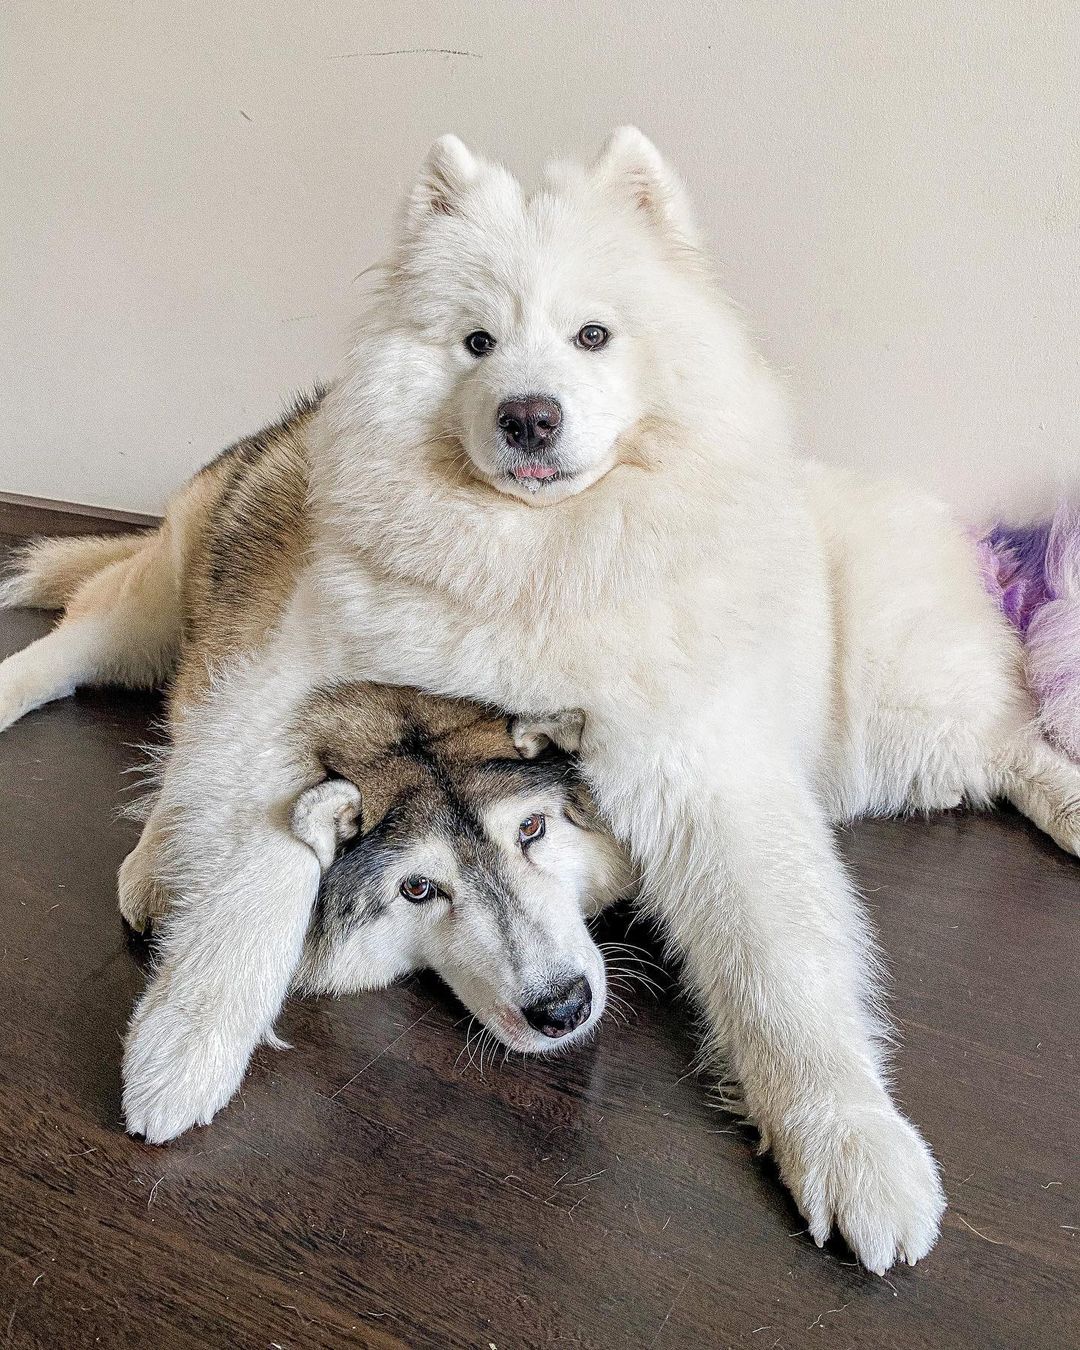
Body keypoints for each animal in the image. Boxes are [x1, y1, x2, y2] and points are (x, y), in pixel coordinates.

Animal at [3, 128, 1078, 1274]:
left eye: (591, 335)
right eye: (477, 343)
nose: (529, 414)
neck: (535, 563)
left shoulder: (708, 777)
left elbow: (783, 971)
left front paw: (853, 1144)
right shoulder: (280, 709)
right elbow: (252, 881)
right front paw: (185, 1044)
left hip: (895, 725)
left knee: (1011, 739)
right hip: (157, 614)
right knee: (97, 663)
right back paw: (131, 826)